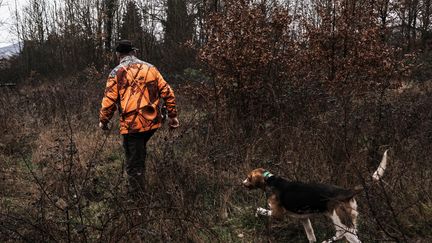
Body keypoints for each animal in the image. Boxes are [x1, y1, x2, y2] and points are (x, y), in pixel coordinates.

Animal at [243, 149, 388, 242]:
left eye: (249, 177)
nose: (242, 183)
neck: (271, 180)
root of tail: (347, 191)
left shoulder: (278, 214)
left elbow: (261, 210)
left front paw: (257, 213)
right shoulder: (304, 218)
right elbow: (311, 236)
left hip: (341, 222)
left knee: (341, 234)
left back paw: (328, 240)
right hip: (350, 221)